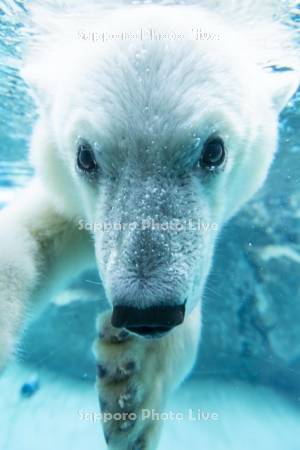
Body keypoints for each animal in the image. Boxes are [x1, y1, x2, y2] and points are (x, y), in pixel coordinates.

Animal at [0, 0, 298, 450]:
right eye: (85, 156)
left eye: (214, 150)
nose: (148, 314)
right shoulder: (68, 199)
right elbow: (32, 237)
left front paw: (133, 379)